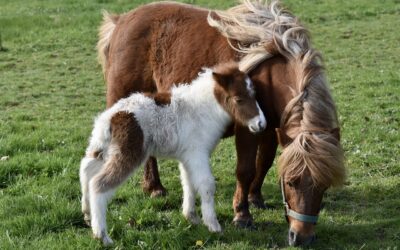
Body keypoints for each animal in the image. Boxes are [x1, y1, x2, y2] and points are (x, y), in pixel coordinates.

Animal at [79, 62, 266, 244]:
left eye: (255, 95)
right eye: (238, 99)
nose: (261, 124)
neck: (202, 110)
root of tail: (109, 119)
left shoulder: (187, 157)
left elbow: (188, 183)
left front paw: (191, 218)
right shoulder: (198, 153)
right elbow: (206, 185)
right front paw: (213, 225)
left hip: (102, 148)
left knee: (86, 169)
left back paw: (87, 215)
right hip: (129, 153)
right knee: (98, 184)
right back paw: (102, 235)